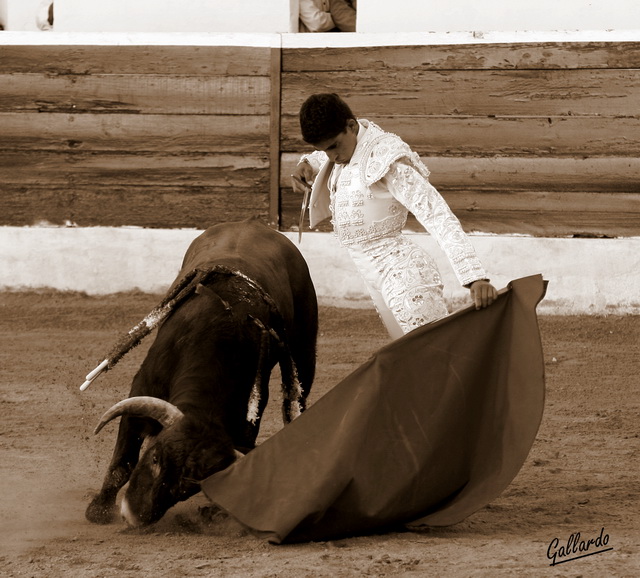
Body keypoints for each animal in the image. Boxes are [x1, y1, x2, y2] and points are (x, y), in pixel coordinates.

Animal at [85, 218, 318, 524]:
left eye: (185, 489)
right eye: (156, 458)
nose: (134, 516)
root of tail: (252, 224)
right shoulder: (143, 389)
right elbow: (123, 461)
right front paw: (99, 510)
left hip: (304, 349)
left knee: (296, 399)